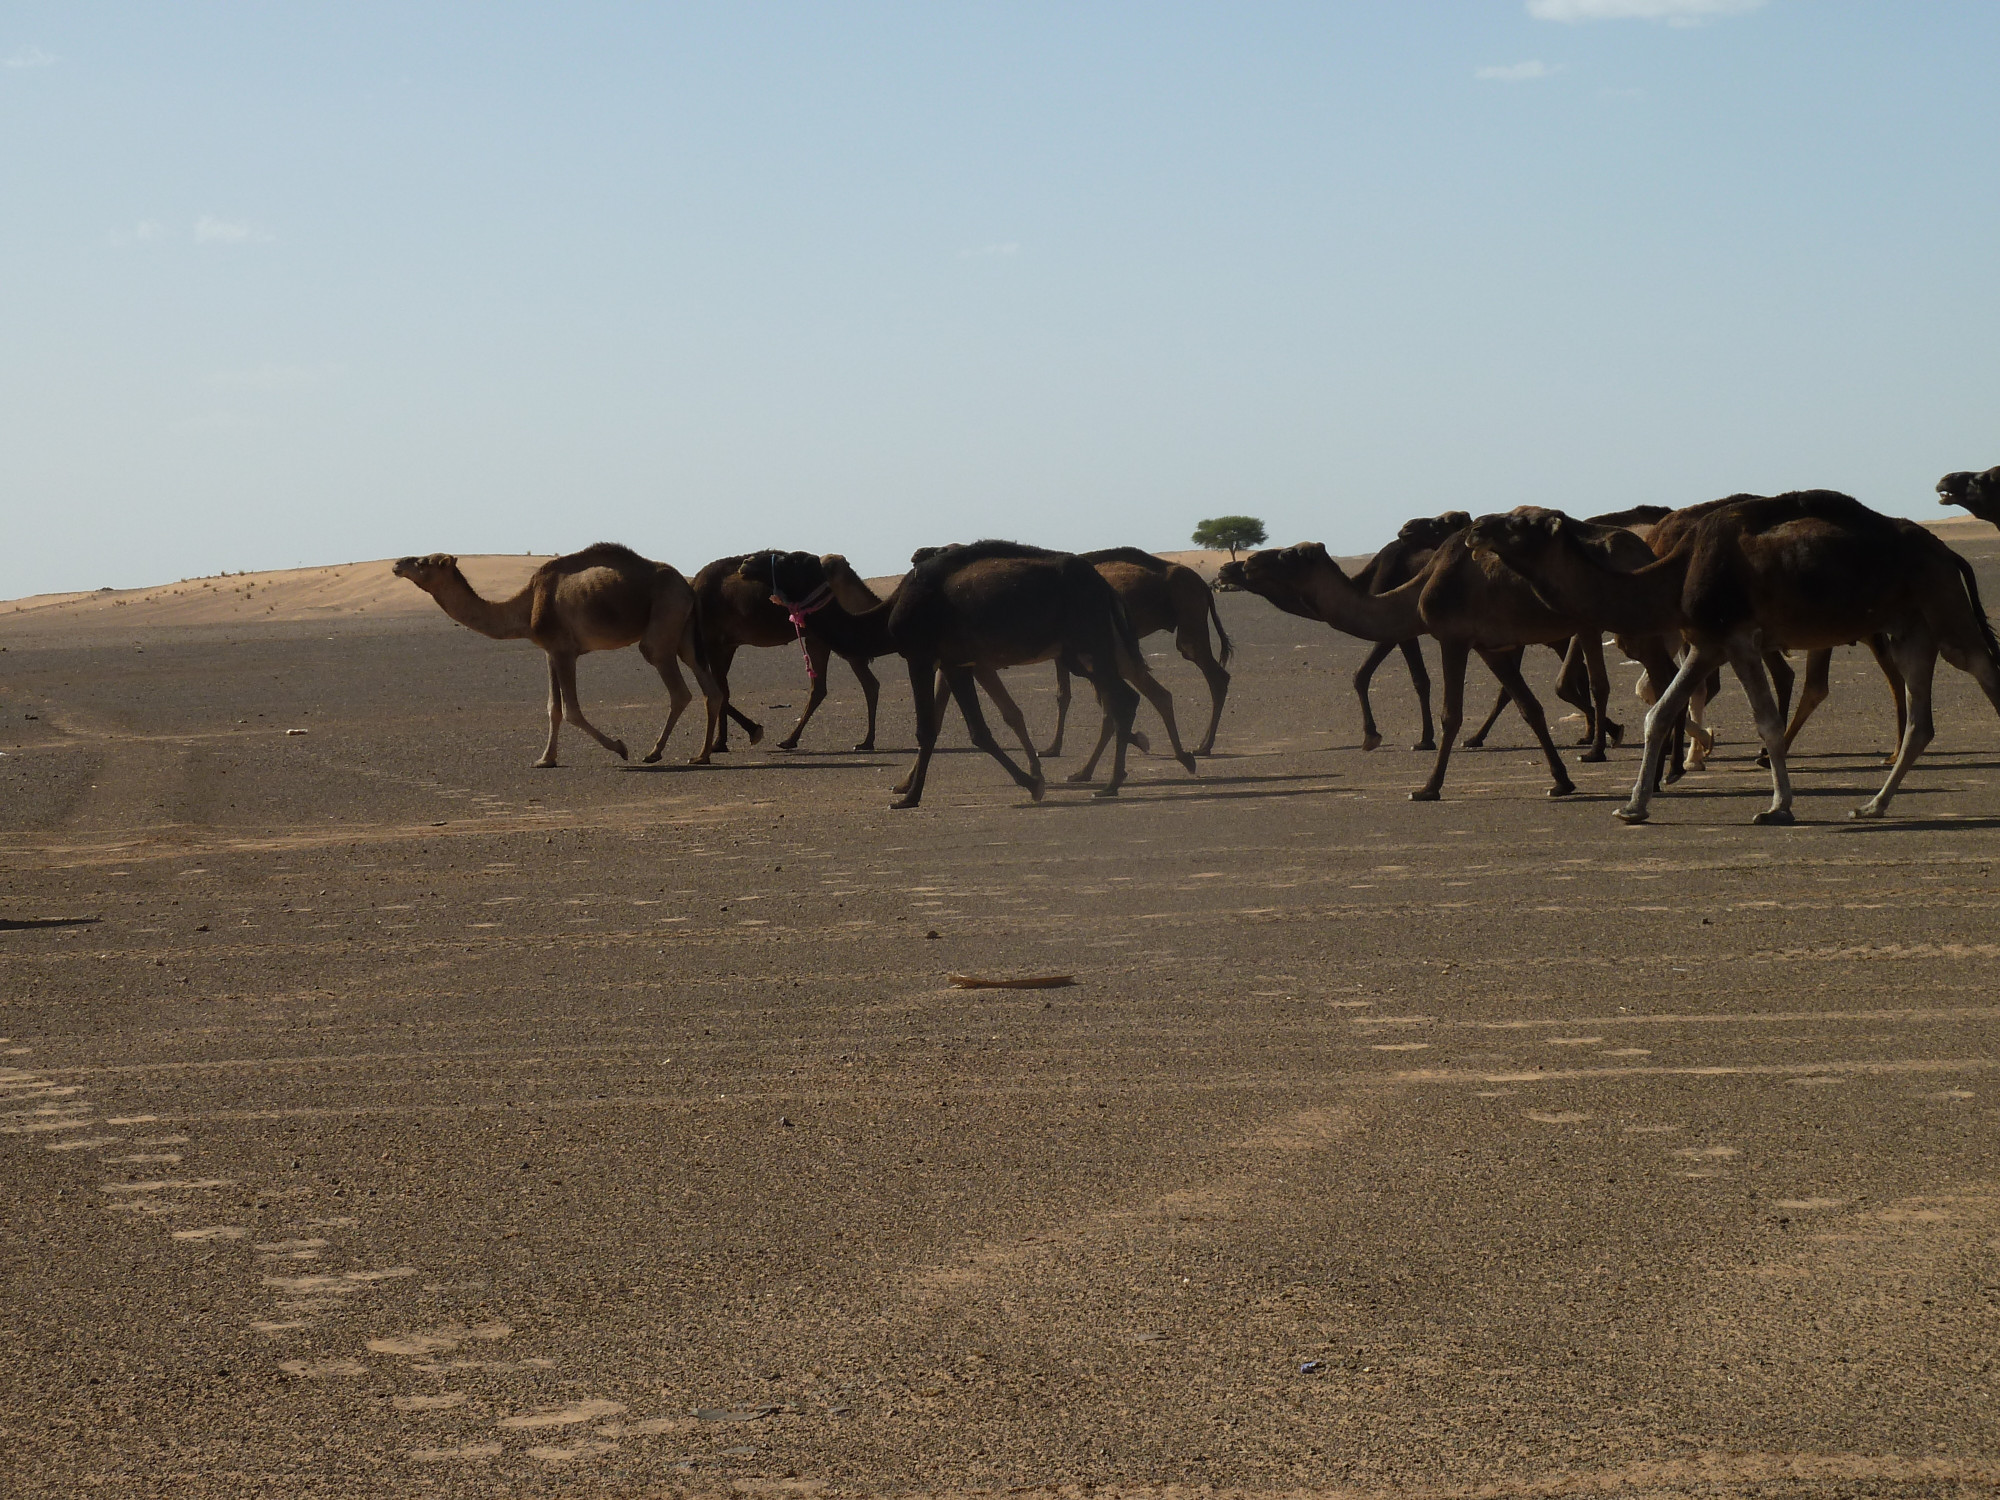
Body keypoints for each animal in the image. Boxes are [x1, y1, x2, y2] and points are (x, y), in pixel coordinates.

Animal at [392, 548, 756, 768]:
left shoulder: (565, 650)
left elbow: (572, 711)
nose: (397, 563)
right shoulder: (550, 651)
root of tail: (688, 586)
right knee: (711, 689)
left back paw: (654, 752)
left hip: (662, 624)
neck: (526, 606)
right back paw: (701, 755)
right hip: (684, 633)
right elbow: (553, 708)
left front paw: (620, 747)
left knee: (678, 689)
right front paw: (545, 759)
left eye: (423, 561)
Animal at [692, 556, 880, 752]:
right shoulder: (727, 646)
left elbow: (720, 691)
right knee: (839, 686)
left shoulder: (714, 644)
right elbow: (723, 691)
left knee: (864, 683)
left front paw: (726, 741)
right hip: (818, 639)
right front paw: (728, 739)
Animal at [744, 548, 1192, 812]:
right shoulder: (957, 662)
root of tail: (1104, 587)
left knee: (1122, 699)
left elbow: (927, 728)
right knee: (1125, 698)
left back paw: (1112, 784)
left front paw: (909, 797)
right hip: (1081, 649)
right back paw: (1114, 776)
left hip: (1089, 642)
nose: (748, 561)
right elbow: (977, 731)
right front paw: (1032, 781)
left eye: (790, 559)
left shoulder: (921, 656)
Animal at [1456, 490, 2000, 824]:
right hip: (1911, 628)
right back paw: (1871, 806)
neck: (1676, 574)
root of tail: (1947, 552)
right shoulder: (1706, 642)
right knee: (1921, 722)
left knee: (1984, 668)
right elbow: (1658, 713)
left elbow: (1767, 722)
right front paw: (1633, 807)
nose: (1476, 526)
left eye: (1522, 522)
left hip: (1944, 608)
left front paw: (1778, 807)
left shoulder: (1739, 638)